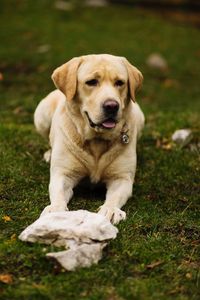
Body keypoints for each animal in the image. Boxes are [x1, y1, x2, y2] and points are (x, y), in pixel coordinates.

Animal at [34, 54, 144, 224]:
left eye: (120, 82)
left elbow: (114, 197)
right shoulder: (63, 174)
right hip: (41, 114)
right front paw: (56, 210)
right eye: (91, 82)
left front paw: (110, 210)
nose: (112, 106)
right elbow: (58, 194)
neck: (97, 140)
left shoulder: (122, 178)